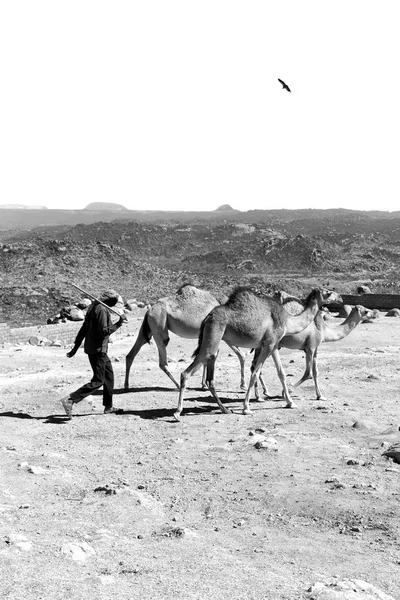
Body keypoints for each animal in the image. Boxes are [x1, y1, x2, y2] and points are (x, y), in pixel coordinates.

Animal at [175, 288, 340, 422]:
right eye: (328, 292)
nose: (339, 298)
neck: (287, 320)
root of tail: (207, 318)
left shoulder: (274, 345)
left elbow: (281, 373)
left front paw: (290, 402)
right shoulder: (269, 345)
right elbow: (255, 373)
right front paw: (246, 408)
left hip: (213, 343)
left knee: (210, 378)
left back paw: (225, 409)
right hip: (214, 334)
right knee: (186, 373)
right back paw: (177, 412)